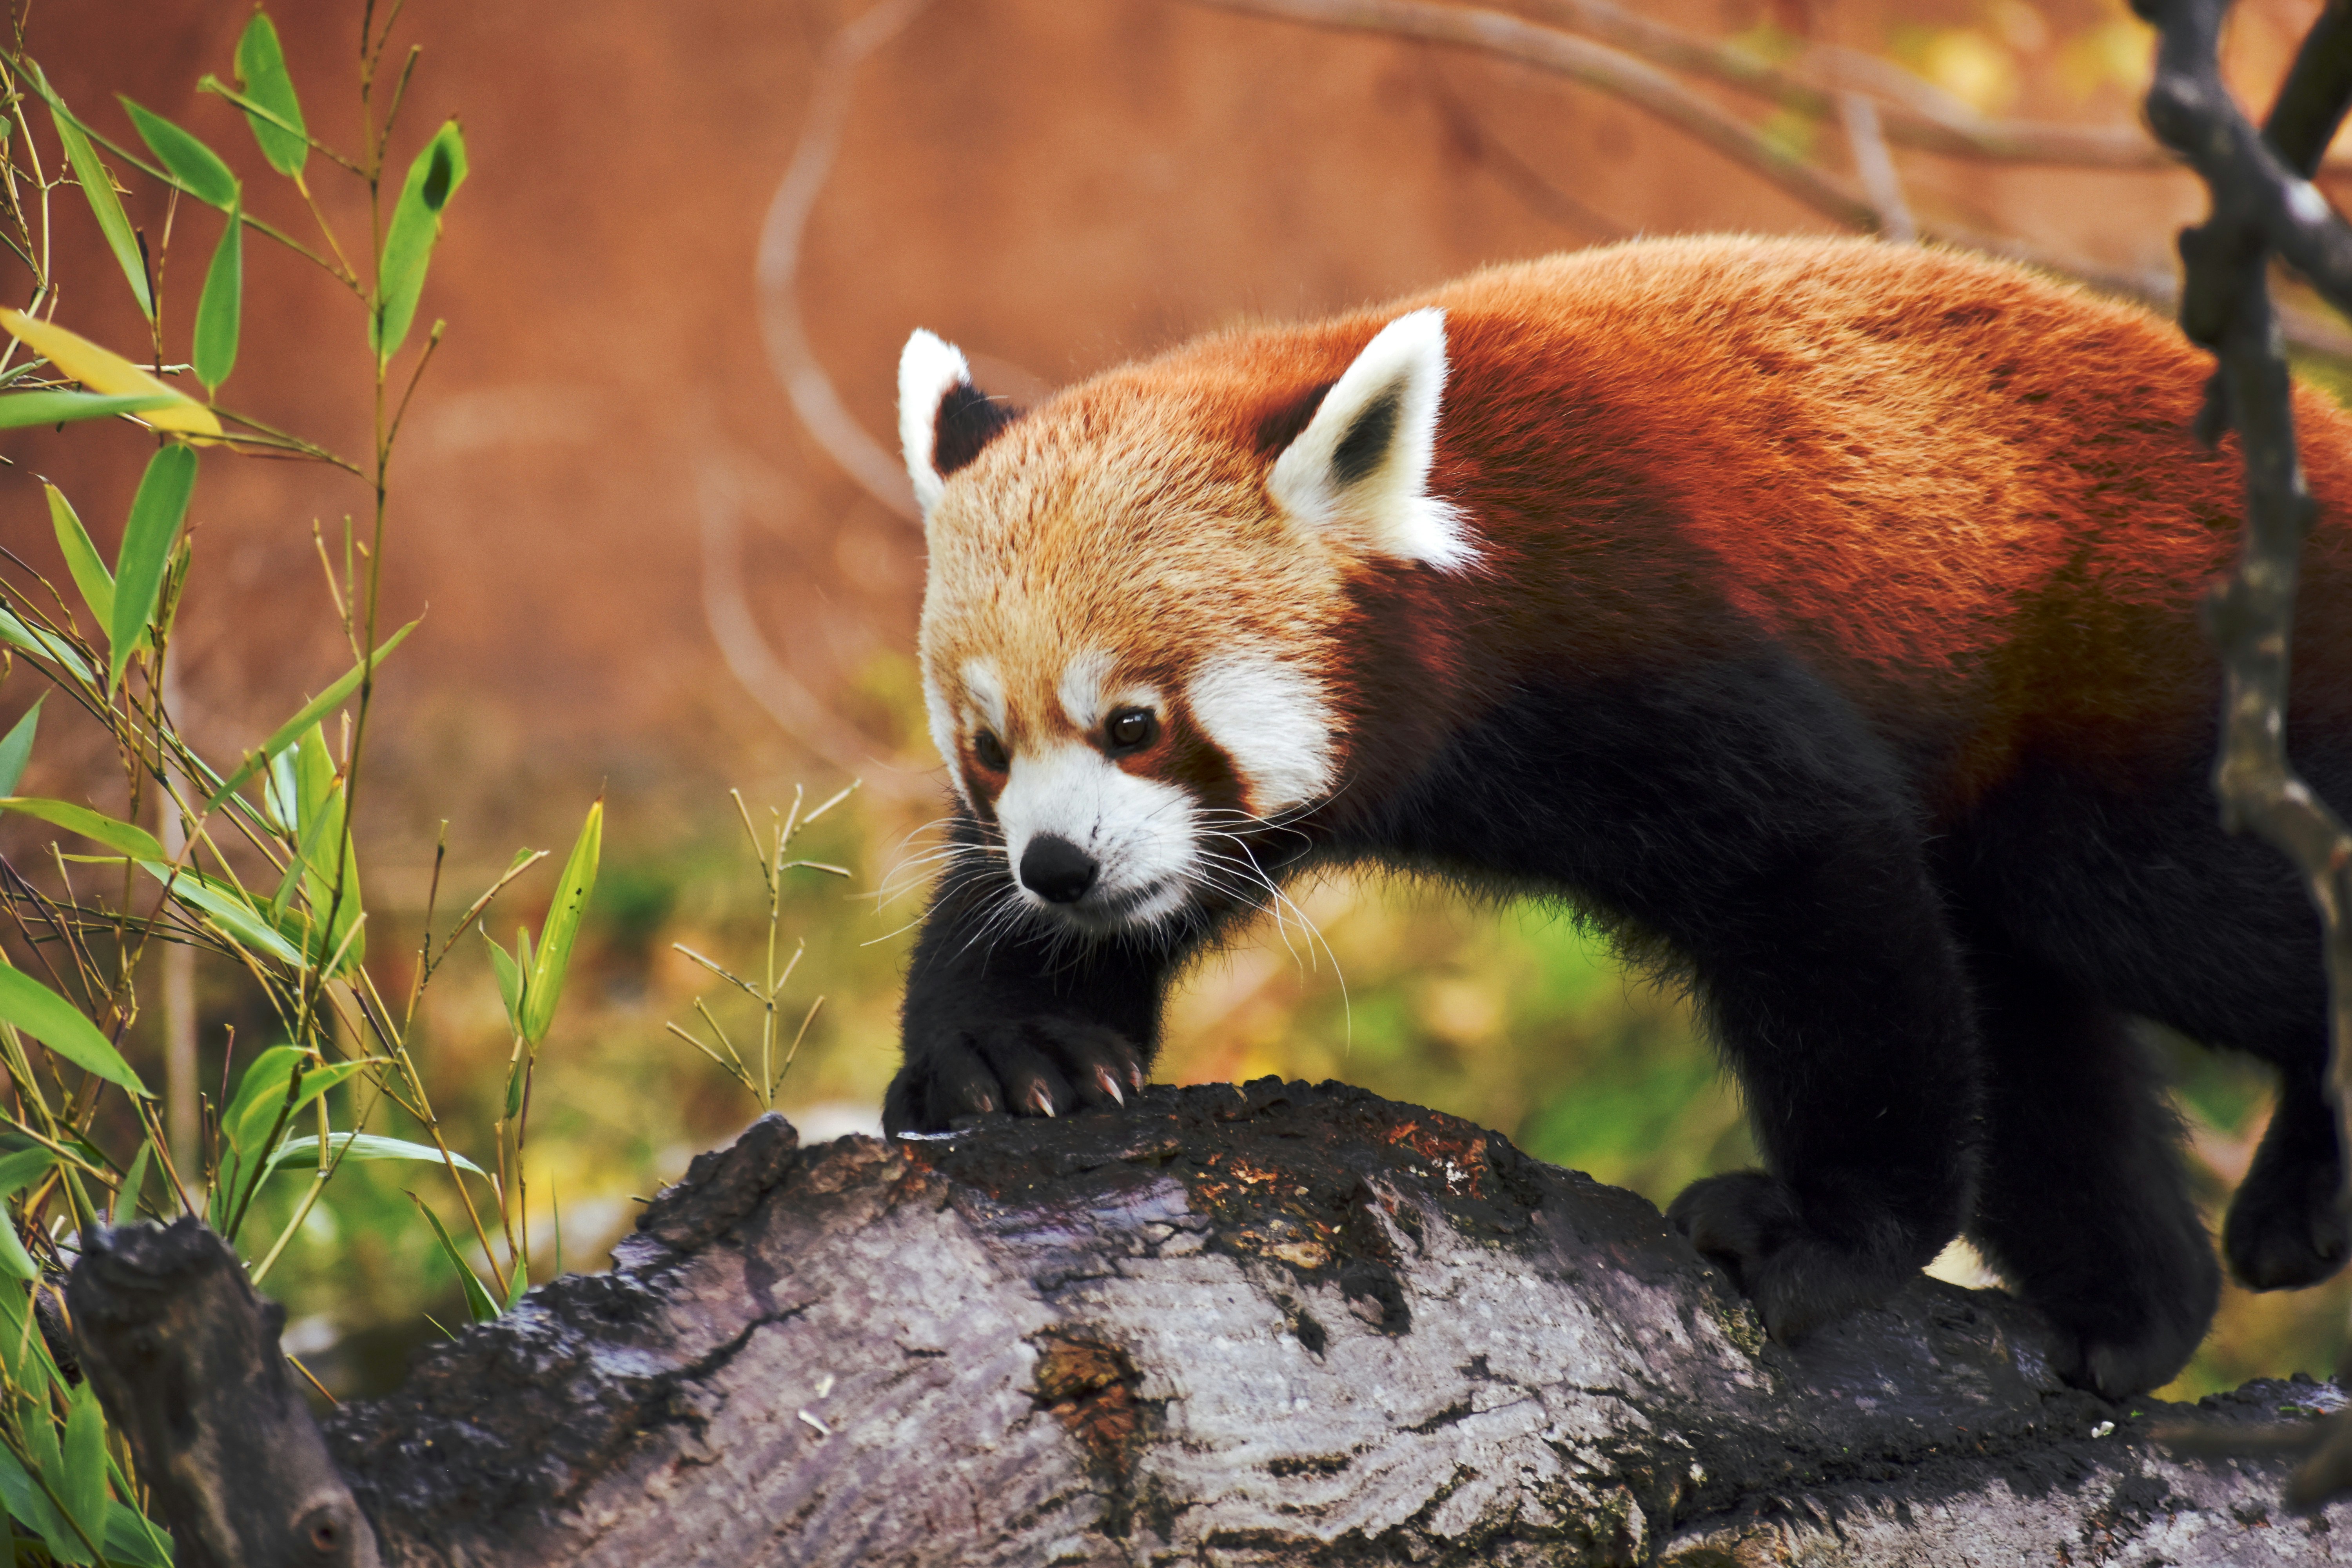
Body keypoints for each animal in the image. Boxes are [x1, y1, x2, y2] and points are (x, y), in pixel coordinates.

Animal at [881, 233, 2352, 1396]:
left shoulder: (1638, 619)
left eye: (1134, 723)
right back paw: (2135, 1311)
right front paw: (1019, 1041)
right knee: (2027, 1005)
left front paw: (1822, 1234)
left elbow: (1816, 879)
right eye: (989, 749)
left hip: (2143, 673)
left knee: (2158, 902)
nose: (1060, 868)